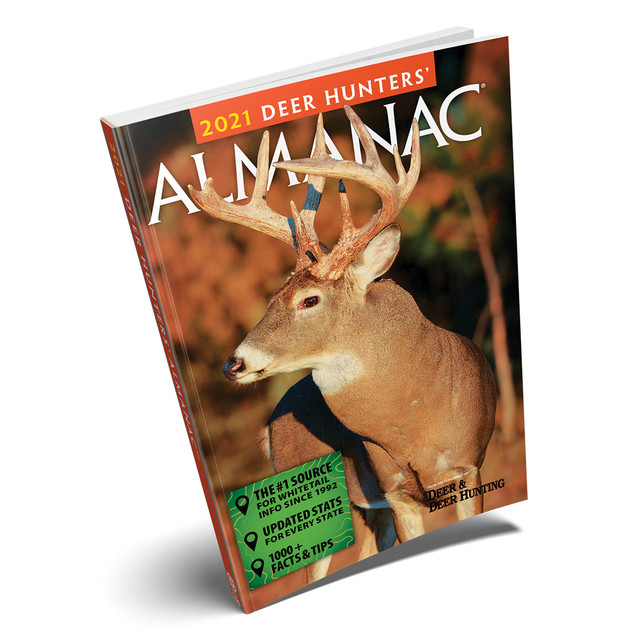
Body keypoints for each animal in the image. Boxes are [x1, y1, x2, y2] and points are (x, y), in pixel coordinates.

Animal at [188, 105, 496, 583]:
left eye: (309, 299)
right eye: (272, 297)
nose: (234, 364)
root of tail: (268, 426)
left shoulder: (469, 465)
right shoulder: (395, 490)